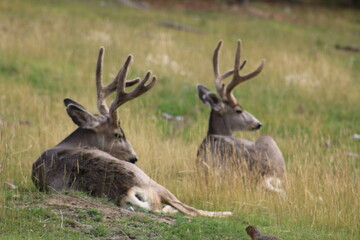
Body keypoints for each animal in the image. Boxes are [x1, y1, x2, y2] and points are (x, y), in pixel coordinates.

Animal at [32, 47, 232, 218]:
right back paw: (227, 213)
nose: (134, 157)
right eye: (118, 134)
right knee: (188, 209)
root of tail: (126, 193)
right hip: (149, 180)